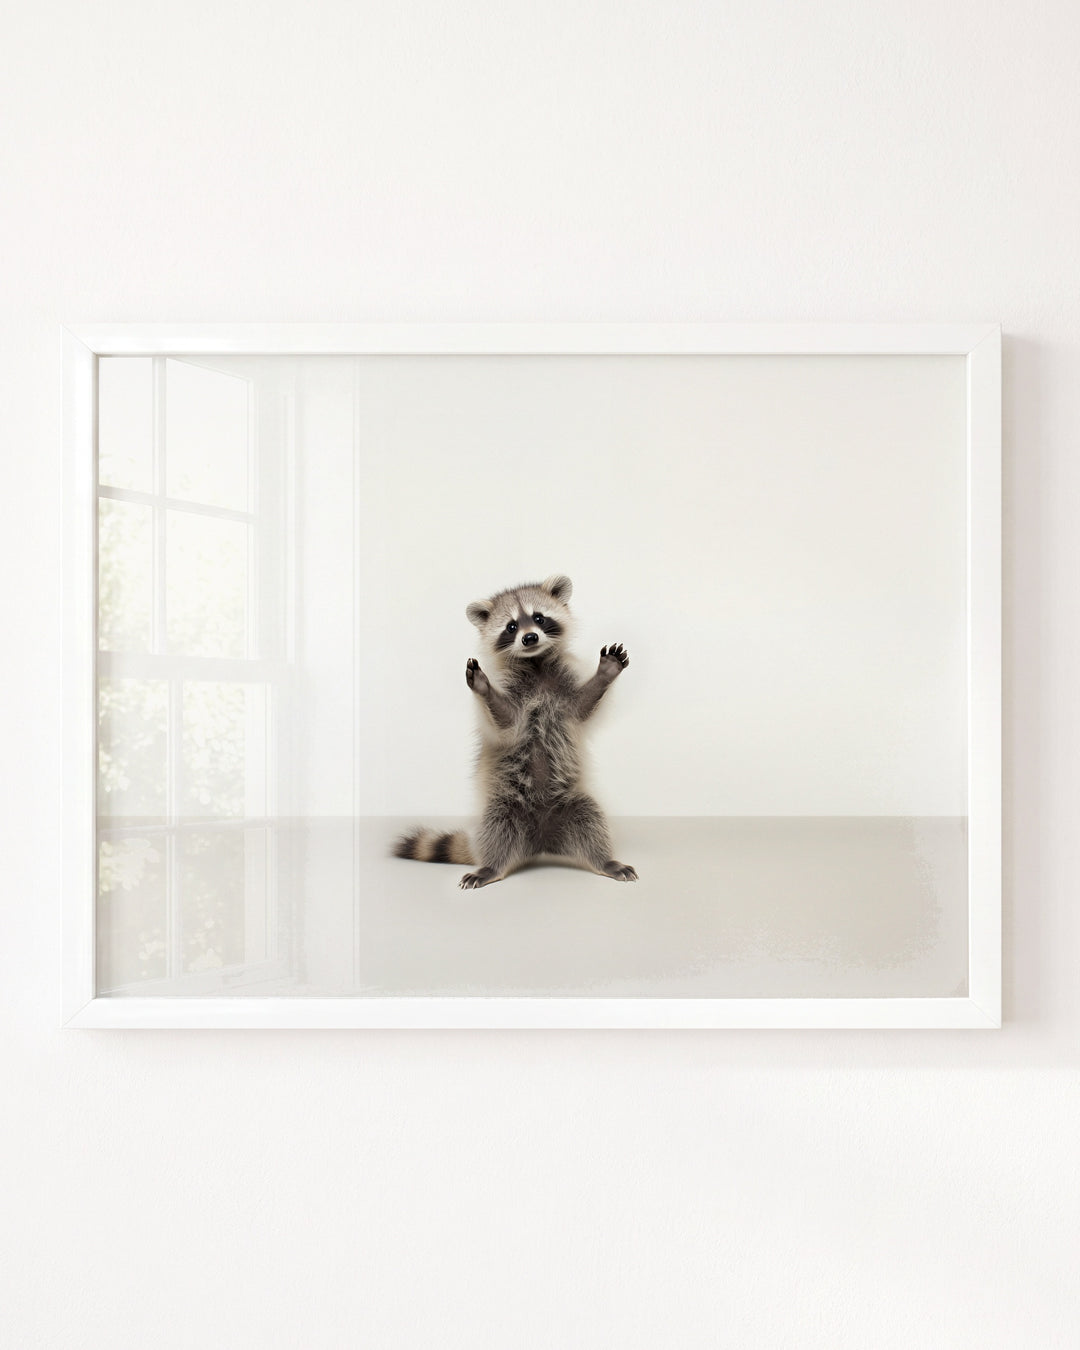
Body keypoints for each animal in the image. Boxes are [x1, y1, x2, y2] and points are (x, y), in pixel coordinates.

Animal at [394, 574, 637, 889]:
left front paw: (604, 674)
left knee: (591, 818)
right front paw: (484, 688)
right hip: (504, 806)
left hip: (572, 803)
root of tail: (542, 842)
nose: (530, 637)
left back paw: (605, 861)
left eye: (539, 618)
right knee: (497, 829)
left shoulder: (564, 691)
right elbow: (507, 723)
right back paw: (491, 866)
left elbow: (582, 708)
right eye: (511, 626)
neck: (536, 663)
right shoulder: (512, 695)